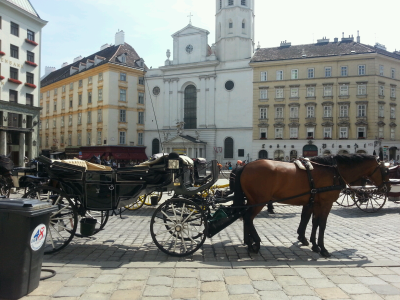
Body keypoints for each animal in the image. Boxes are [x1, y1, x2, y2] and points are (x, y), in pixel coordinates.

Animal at [234, 155, 390, 258]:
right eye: (386, 171)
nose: (387, 188)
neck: (333, 171)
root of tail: (245, 165)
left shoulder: (315, 203)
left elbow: (314, 222)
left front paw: (314, 245)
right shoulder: (326, 204)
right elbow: (322, 224)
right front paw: (323, 248)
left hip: (252, 200)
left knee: (246, 218)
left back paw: (249, 242)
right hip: (259, 201)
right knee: (248, 218)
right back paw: (255, 244)